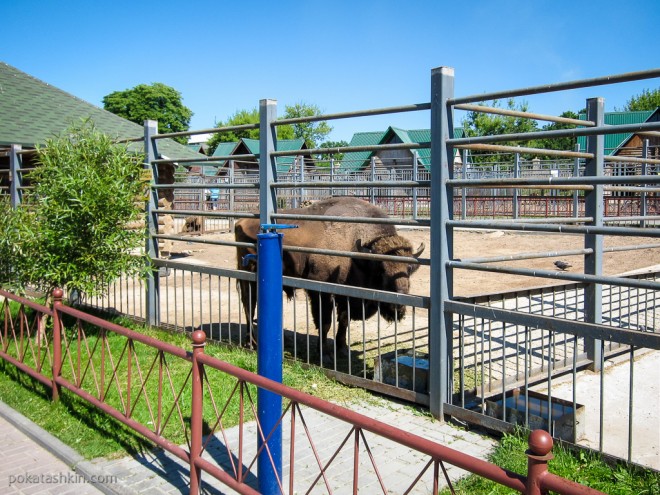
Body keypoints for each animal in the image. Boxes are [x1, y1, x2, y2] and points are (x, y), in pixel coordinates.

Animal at [235, 196, 426, 362]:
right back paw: (251, 343)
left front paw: (342, 349)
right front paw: (325, 354)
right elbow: (325, 322)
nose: (398, 306)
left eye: (409, 270)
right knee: (249, 305)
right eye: (381, 270)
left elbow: (344, 321)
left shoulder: (347, 295)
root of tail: (240, 221)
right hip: (247, 278)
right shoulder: (321, 292)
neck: (355, 252)